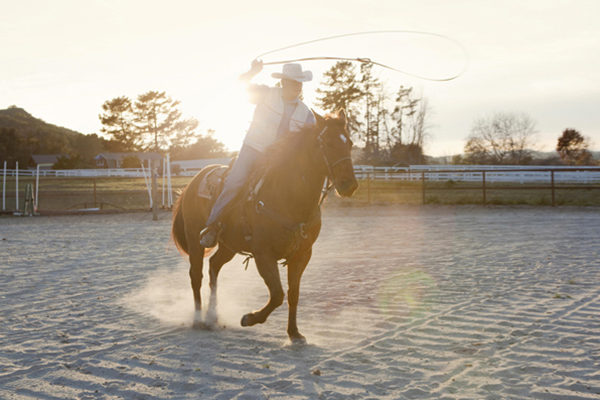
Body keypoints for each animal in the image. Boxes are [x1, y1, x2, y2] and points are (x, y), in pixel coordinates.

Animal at [170, 110, 356, 344]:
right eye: (328, 143)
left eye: (349, 143)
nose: (349, 185)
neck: (288, 197)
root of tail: (194, 181)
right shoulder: (263, 254)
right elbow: (277, 294)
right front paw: (249, 318)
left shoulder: (302, 254)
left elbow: (293, 294)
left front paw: (294, 333)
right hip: (196, 239)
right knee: (196, 275)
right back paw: (198, 319)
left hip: (229, 246)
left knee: (214, 266)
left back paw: (213, 315)